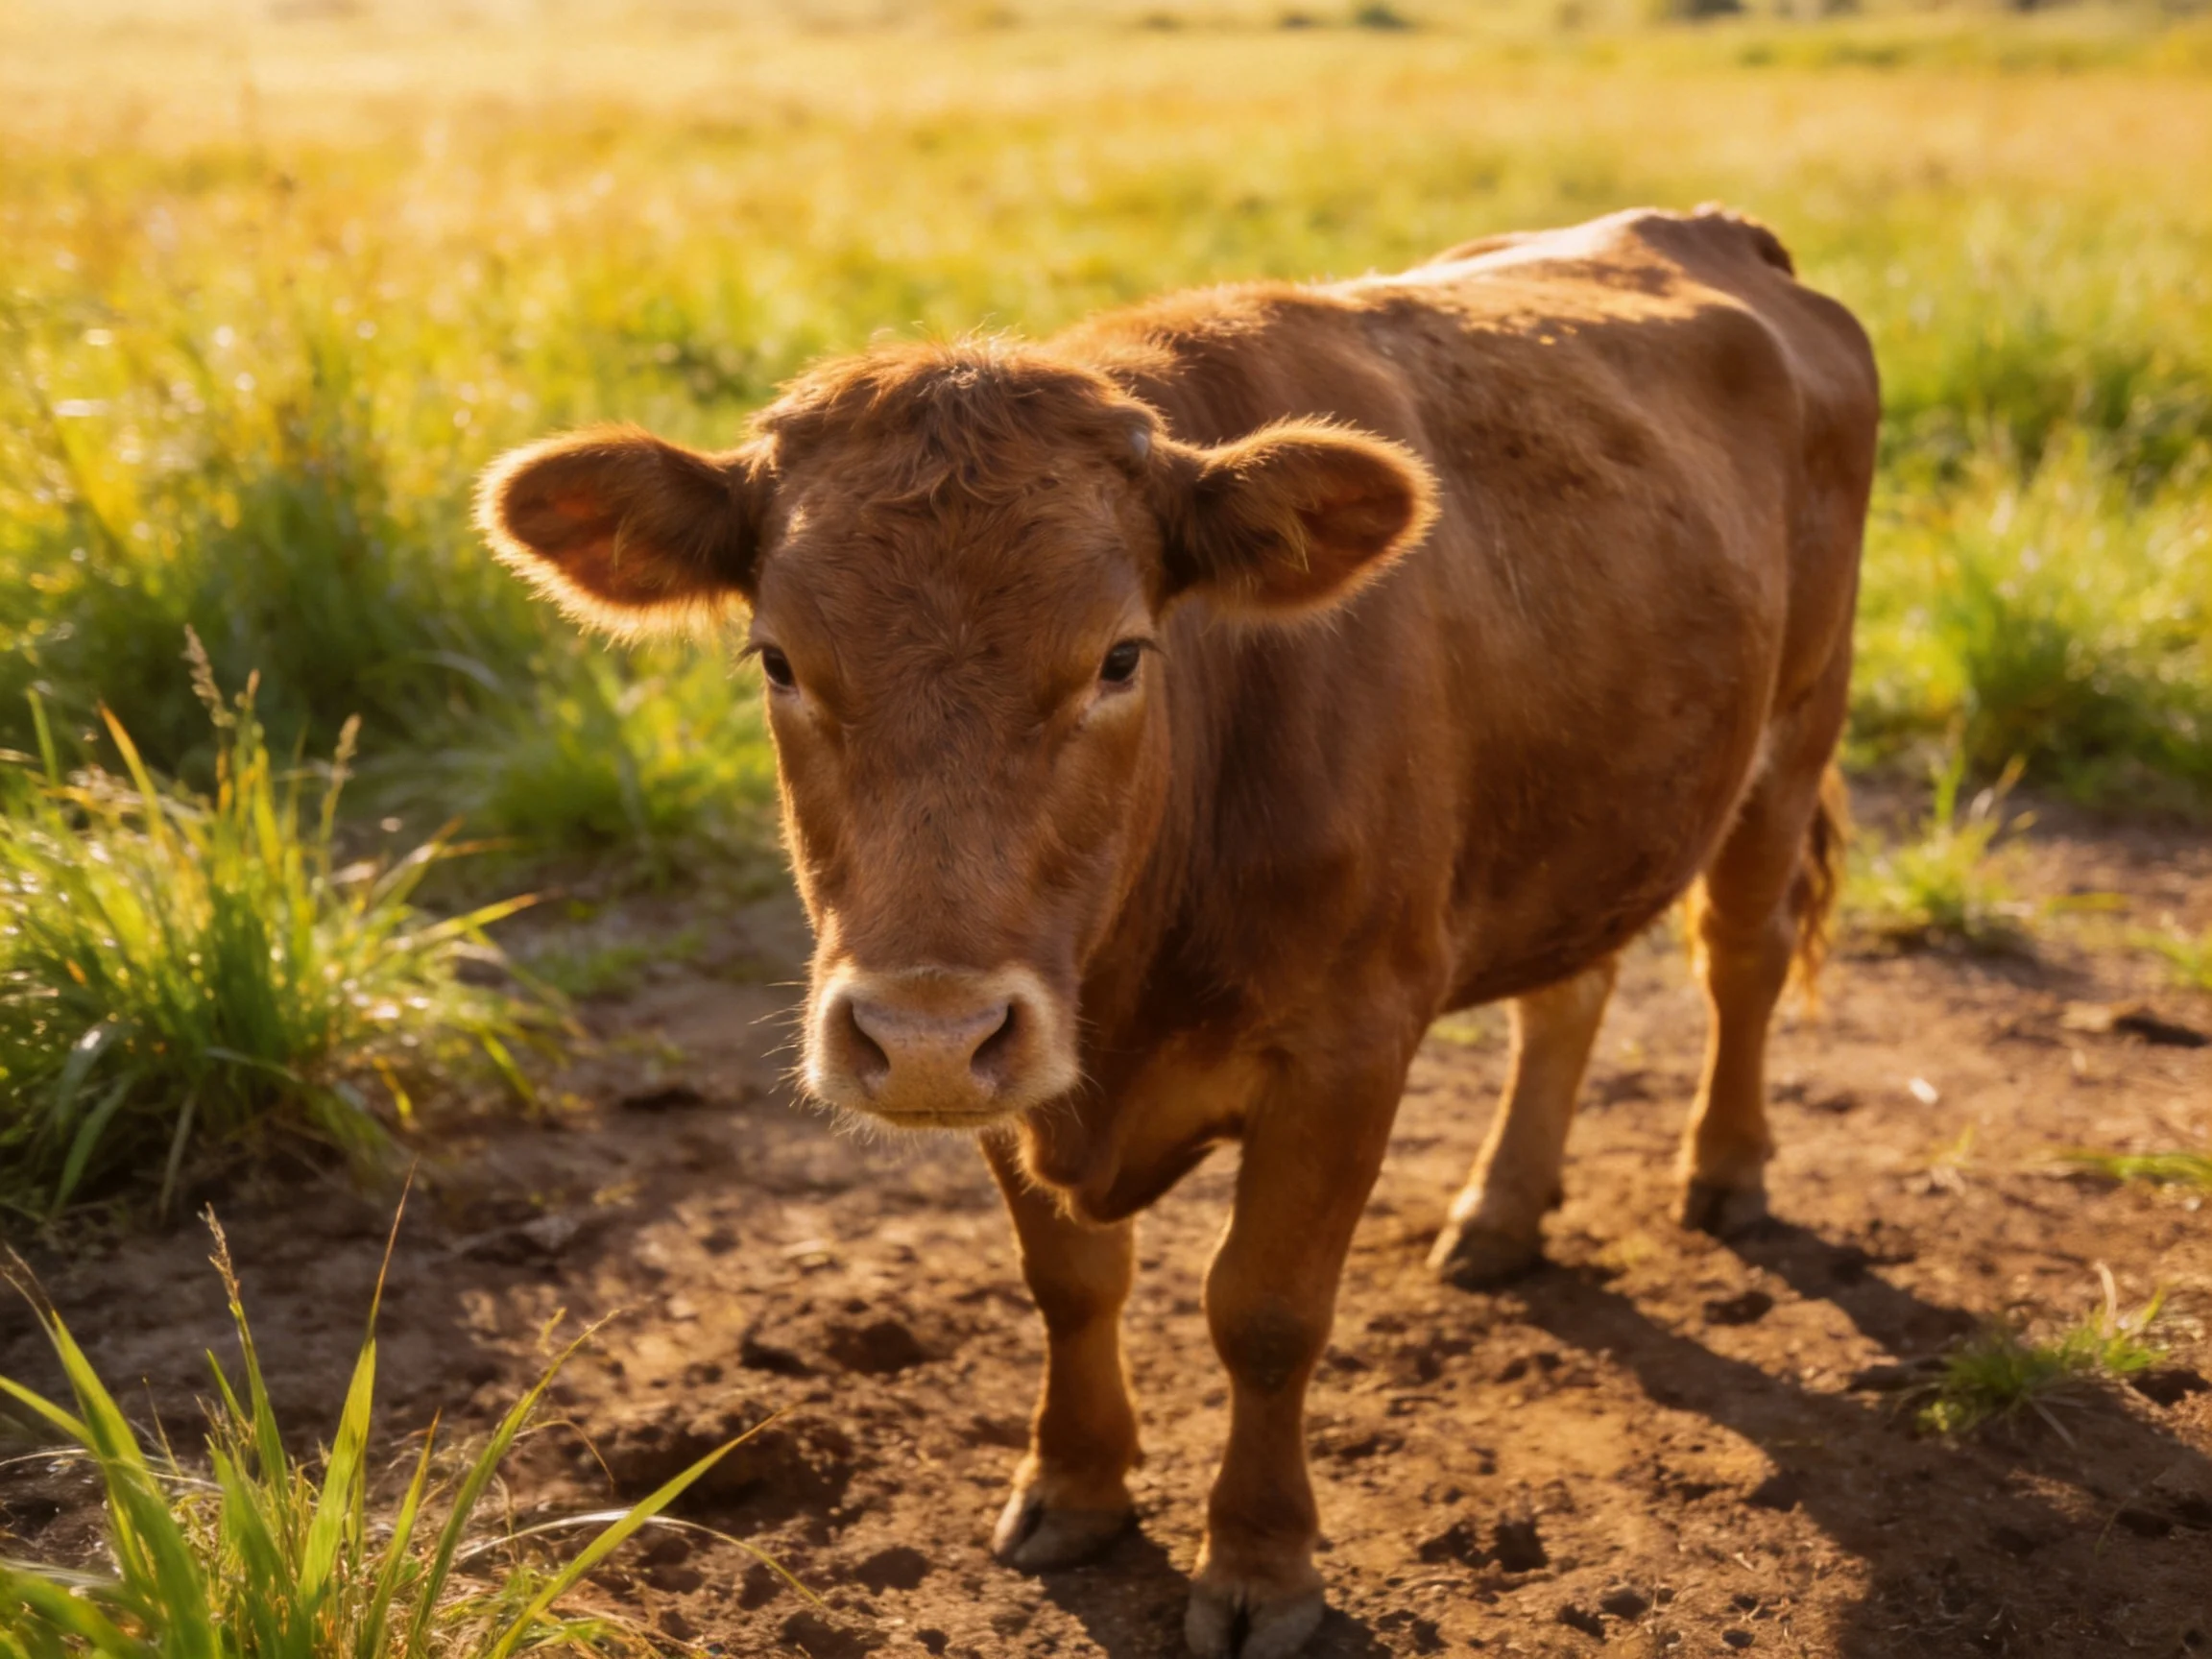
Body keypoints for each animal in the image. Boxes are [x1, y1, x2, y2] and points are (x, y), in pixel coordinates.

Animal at [479, 205, 1878, 1659]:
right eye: (777, 660)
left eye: (1120, 655)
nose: (920, 1035)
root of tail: (1701, 231)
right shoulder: (1021, 1050)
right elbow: (1071, 1281)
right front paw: (1077, 1484)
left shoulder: (1347, 1045)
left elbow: (1263, 1309)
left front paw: (1261, 1562)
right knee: (1572, 989)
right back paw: (1500, 1210)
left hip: (1796, 725)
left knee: (1743, 952)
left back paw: (1726, 1169)